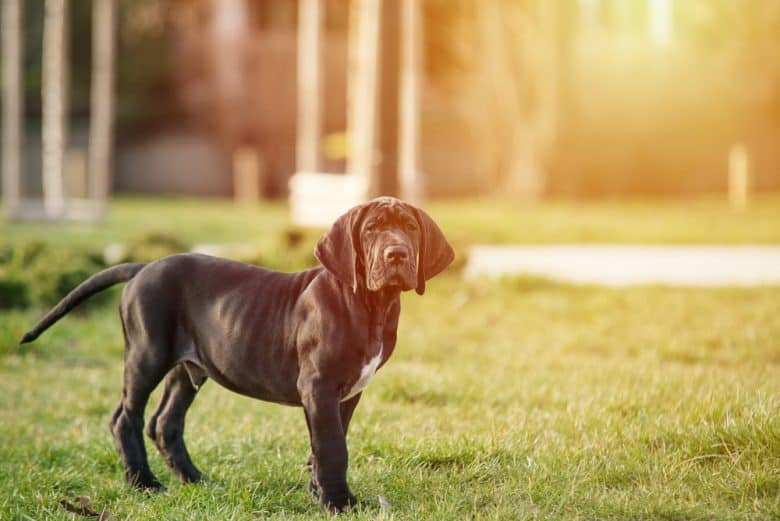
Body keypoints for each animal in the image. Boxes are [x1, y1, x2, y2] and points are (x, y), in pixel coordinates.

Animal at [21, 196, 454, 512]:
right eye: (370, 230)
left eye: (410, 227)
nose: (396, 254)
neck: (369, 305)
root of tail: (144, 267)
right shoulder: (319, 386)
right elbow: (333, 446)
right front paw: (338, 503)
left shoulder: (345, 393)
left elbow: (325, 443)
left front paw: (319, 493)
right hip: (147, 354)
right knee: (126, 418)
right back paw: (144, 484)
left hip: (188, 367)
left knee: (165, 422)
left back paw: (196, 481)